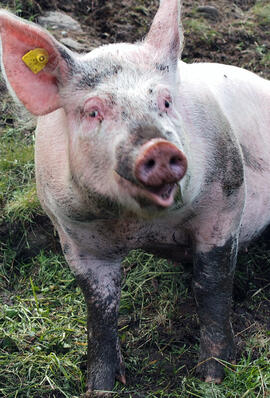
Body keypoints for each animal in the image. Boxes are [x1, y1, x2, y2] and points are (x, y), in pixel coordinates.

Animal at [0, 0, 270, 394]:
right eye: (93, 111)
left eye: (166, 101)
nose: (156, 146)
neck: (140, 226)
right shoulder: (73, 234)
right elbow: (100, 306)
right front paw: (99, 388)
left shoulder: (226, 198)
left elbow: (212, 286)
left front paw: (212, 377)